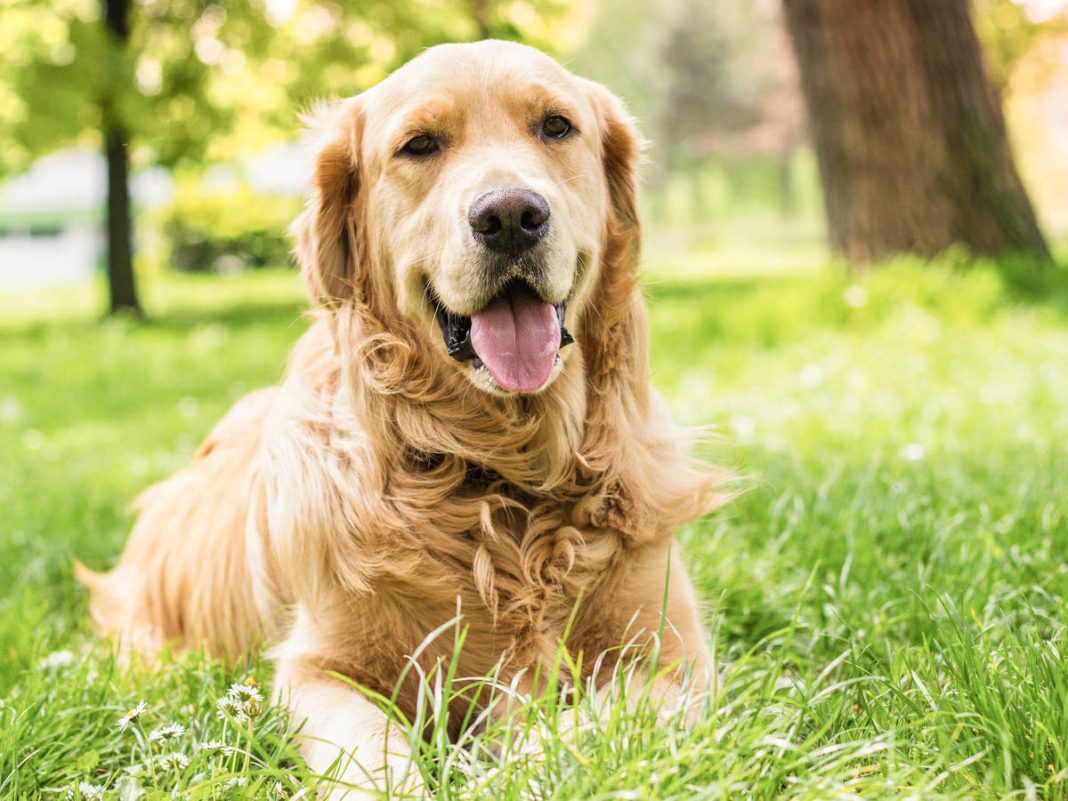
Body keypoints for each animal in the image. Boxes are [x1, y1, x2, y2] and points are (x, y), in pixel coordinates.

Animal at [75, 39, 726, 801]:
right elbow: (373, 753)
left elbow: (584, 728)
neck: (501, 473)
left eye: (557, 126)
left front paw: (511, 764)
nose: (511, 216)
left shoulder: (672, 659)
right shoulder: (318, 669)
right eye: (419, 144)